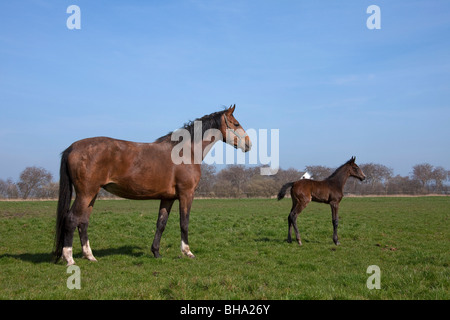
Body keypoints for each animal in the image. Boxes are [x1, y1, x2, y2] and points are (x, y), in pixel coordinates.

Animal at [52, 105, 253, 264]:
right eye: (236, 124)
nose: (249, 144)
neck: (185, 151)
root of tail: (72, 147)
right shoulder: (186, 194)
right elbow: (184, 222)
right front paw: (187, 252)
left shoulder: (168, 198)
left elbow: (161, 224)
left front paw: (156, 252)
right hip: (86, 193)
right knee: (71, 219)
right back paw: (69, 258)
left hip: (91, 194)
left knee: (83, 222)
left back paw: (90, 256)